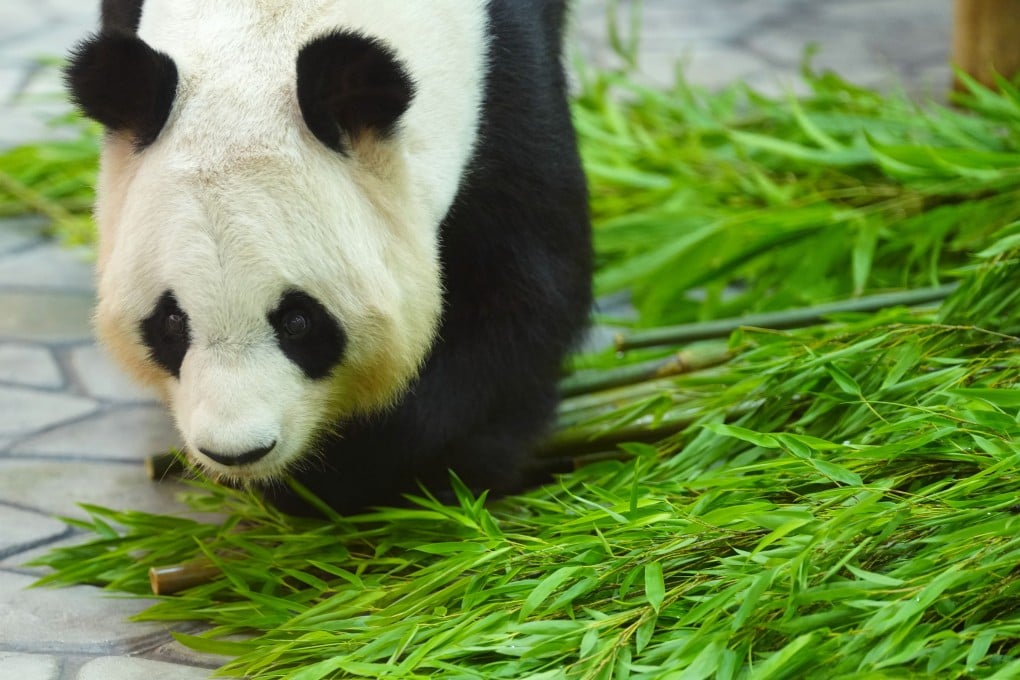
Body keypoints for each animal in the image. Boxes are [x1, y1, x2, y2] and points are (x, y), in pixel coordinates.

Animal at [67, 0, 592, 514]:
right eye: (172, 321)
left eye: (298, 321)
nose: (237, 452)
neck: (267, 24)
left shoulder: (503, 78)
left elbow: (519, 298)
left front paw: (364, 469)